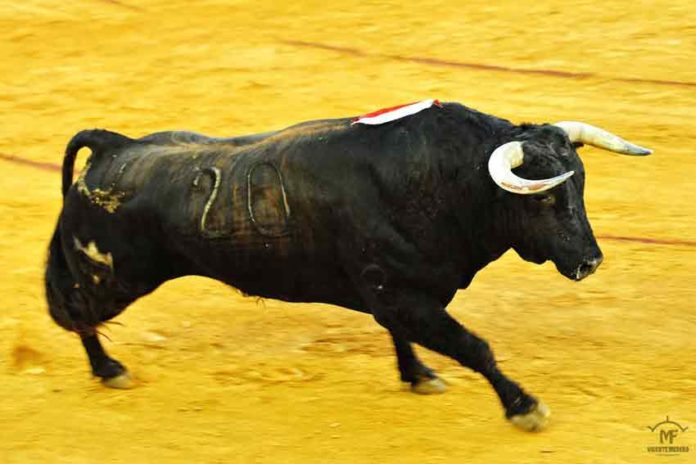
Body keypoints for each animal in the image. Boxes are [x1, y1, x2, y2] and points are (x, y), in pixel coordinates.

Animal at [46, 102, 648, 432]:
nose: (591, 261)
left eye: (581, 185)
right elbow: (474, 346)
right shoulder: (401, 292)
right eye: (543, 199)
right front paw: (524, 407)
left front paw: (419, 376)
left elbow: (404, 335)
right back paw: (109, 369)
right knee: (71, 308)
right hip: (109, 275)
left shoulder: (397, 292)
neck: (444, 179)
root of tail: (115, 146)